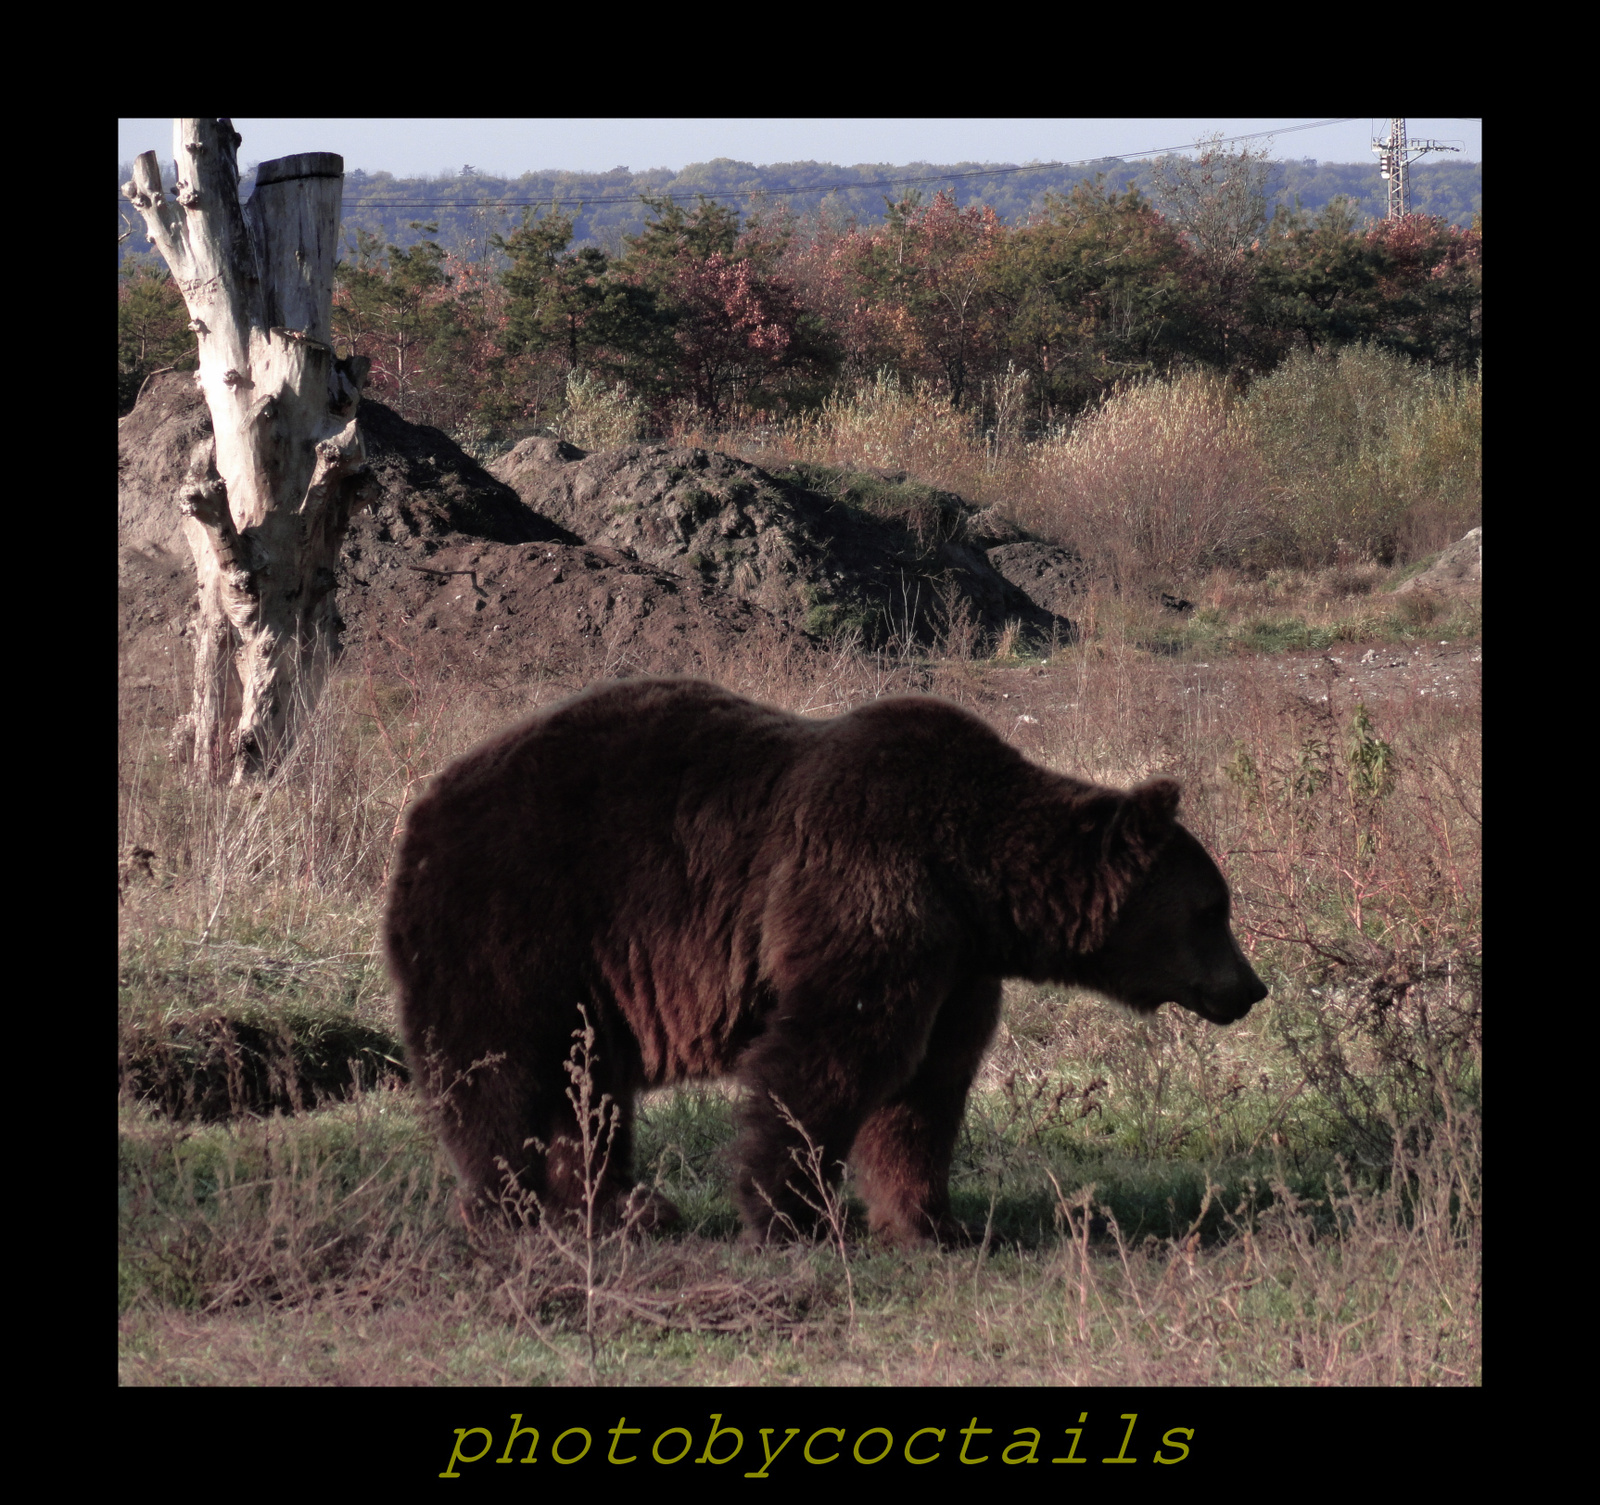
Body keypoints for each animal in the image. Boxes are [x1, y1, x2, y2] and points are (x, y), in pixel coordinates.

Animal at [384, 681, 1260, 1247]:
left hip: (580, 969)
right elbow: (835, 1055)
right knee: (501, 1070)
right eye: (1212, 909)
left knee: (585, 1083)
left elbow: (927, 1086)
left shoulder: (956, 965)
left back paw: (620, 1206)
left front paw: (934, 1220)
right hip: (523, 916)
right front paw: (791, 1212)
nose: (1251, 987)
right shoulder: (870, 883)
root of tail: (427, 801)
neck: (979, 881)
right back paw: (511, 1205)